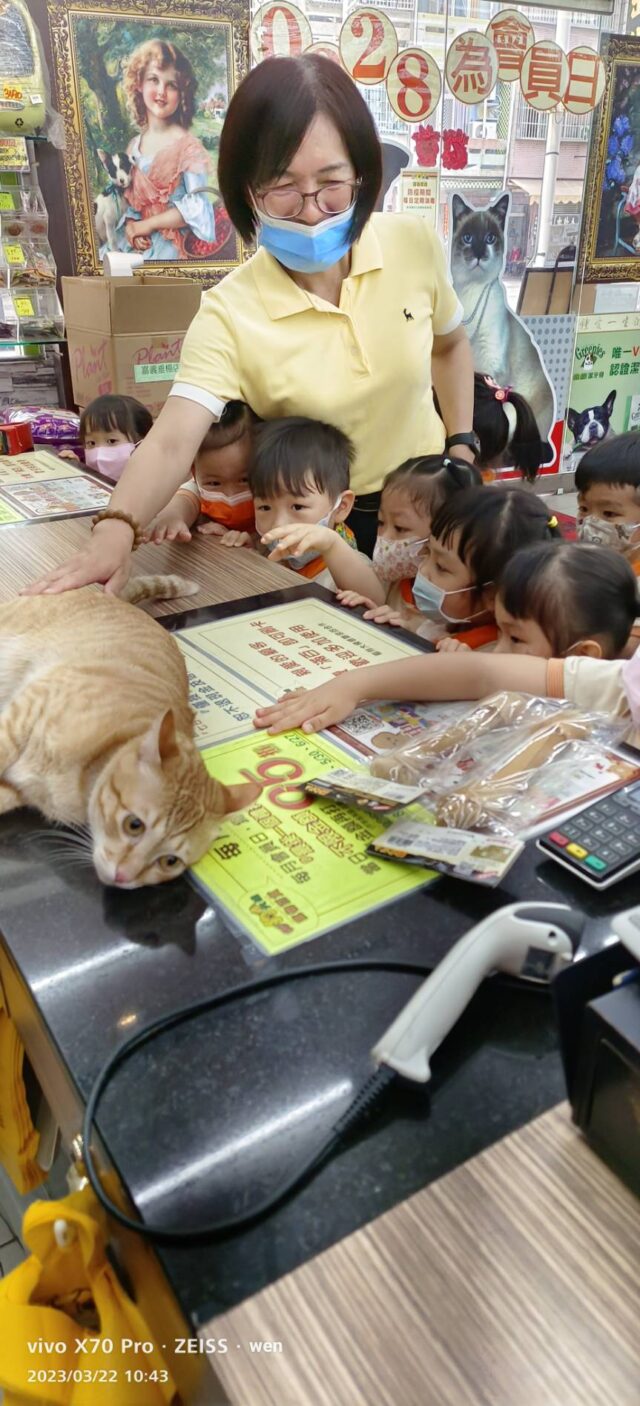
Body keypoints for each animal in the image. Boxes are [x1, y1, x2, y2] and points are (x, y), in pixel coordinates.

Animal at [0, 582, 257, 888]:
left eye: (169, 861)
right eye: (134, 825)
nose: (124, 876)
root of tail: (120, 600)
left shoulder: (18, 790)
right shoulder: (19, 719)